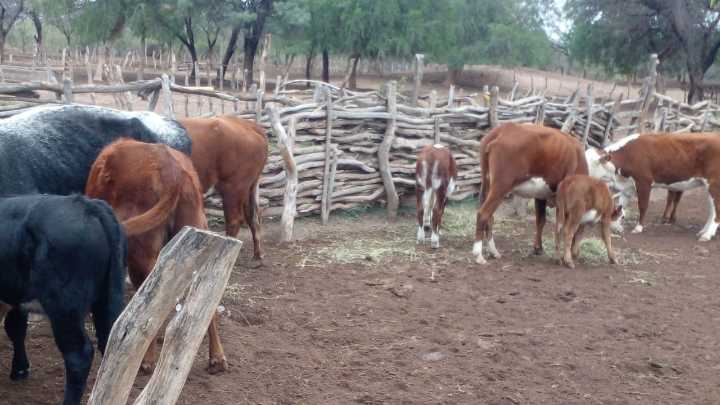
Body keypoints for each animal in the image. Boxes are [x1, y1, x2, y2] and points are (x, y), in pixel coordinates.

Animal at [0, 195, 126, 405]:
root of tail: (86, 205)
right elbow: (15, 327)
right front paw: (20, 369)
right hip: (108, 299)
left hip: (64, 309)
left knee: (78, 356)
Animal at [85, 139, 228, 375]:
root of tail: (172, 168)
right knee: (208, 301)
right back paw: (217, 357)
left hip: (141, 255)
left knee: (148, 307)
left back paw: (147, 360)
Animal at [179, 116, 268, 262]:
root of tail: (247, 124)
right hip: (247, 187)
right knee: (253, 217)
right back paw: (257, 255)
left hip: (232, 187)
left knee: (234, 220)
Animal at [474, 123, 588, 265]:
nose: (576, 254)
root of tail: (503, 128)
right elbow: (560, 226)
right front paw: (561, 257)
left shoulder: (541, 195)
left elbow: (541, 220)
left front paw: (538, 248)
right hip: (501, 186)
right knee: (483, 214)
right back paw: (479, 255)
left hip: (488, 183)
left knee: (490, 217)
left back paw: (493, 251)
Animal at [586, 133, 720, 241]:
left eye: (590, 164)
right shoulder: (627, 187)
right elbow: (621, 206)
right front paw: (615, 224)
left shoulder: (644, 182)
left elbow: (643, 206)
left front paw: (638, 227)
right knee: (712, 209)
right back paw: (704, 231)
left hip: (714, 184)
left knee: (716, 209)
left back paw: (707, 234)